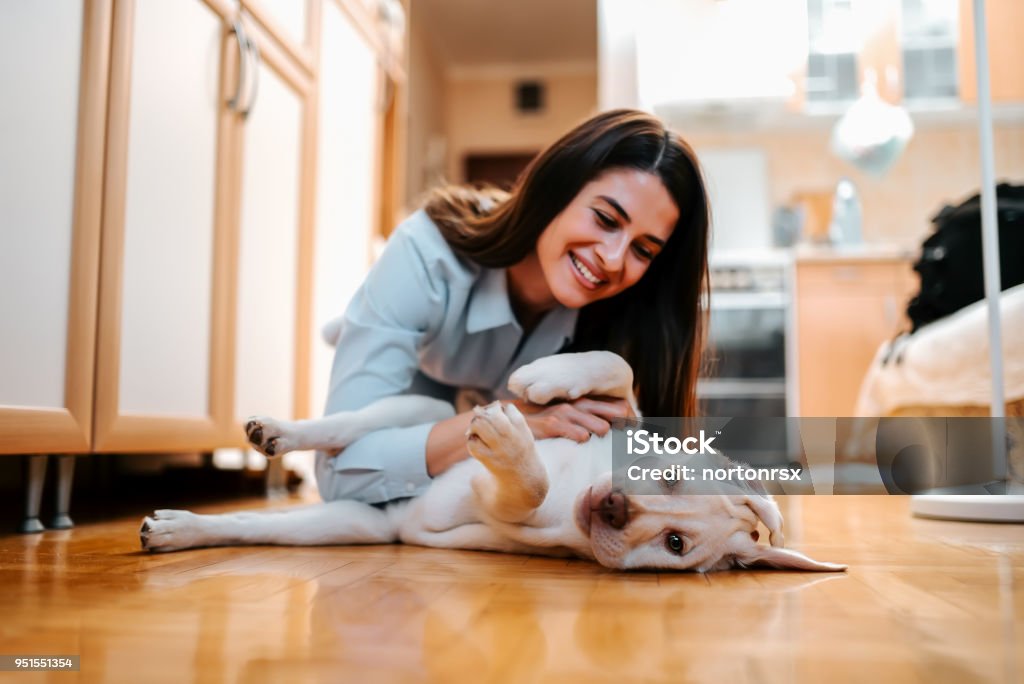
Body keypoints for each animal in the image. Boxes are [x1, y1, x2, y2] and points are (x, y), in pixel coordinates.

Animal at [144, 352, 847, 573]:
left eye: (675, 543)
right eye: (668, 477)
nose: (614, 506)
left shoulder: (489, 506)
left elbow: (524, 489)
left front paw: (514, 450)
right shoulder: (619, 414)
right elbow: (616, 368)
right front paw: (544, 377)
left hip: (356, 523)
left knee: (256, 525)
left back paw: (181, 528)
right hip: (417, 407)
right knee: (349, 425)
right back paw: (277, 432)